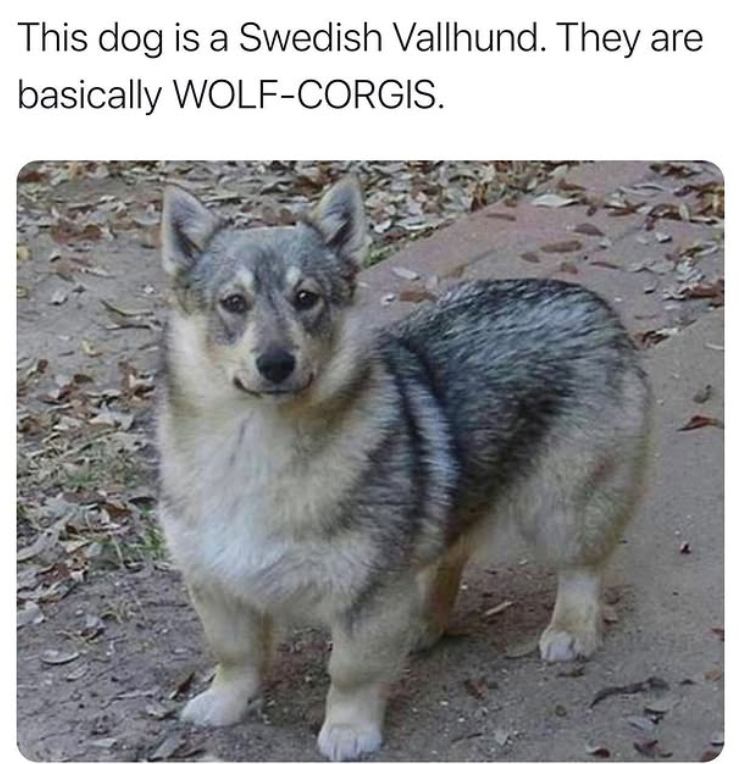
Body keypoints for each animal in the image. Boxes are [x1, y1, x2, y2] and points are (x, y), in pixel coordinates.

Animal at [157, 176, 652, 761]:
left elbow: (350, 671)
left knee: (580, 568)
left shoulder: (367, 592)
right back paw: (422, 622)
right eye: (234, 303)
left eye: (306, 298)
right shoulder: (216, 583)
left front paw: (349, 729)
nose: (276, 363)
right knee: (448, 558)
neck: (254, 441)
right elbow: (235, 655)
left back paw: (572, 628)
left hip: (564, 508)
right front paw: (226, 701)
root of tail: (589, 300)